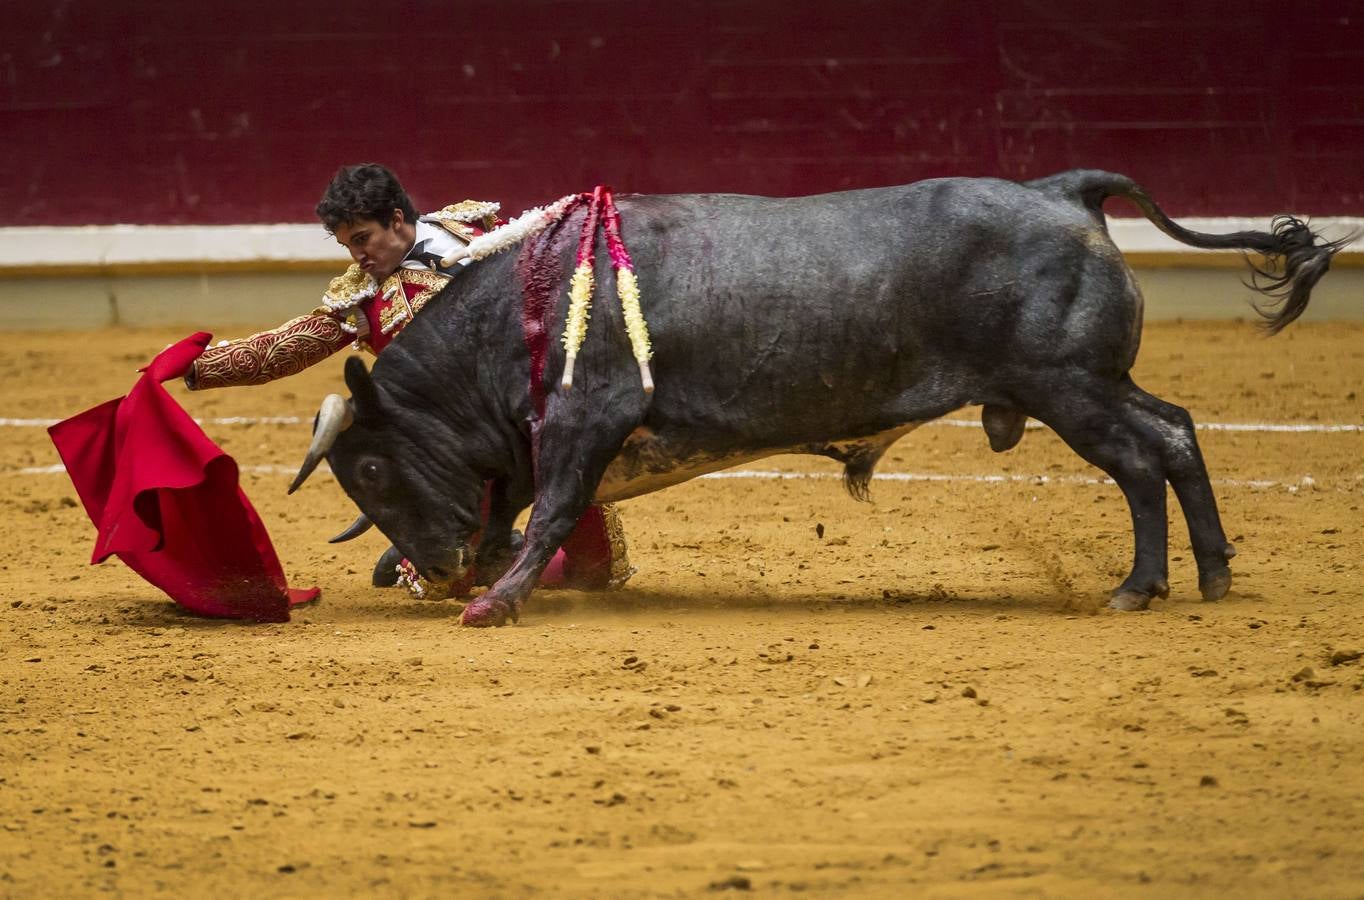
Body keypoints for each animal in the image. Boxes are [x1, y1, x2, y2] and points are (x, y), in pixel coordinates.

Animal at [290, 172, 1353, 630]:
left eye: (373, 463)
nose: (441, 572)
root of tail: (1064, 190)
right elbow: (526, 510)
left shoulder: (584, 422)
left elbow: (550, 511)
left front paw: (498, 603)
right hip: (1091, 385)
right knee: (1173, 433)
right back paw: (1209, 574)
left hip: (1069, 387)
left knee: (1140, 457)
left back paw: (1140, 585)